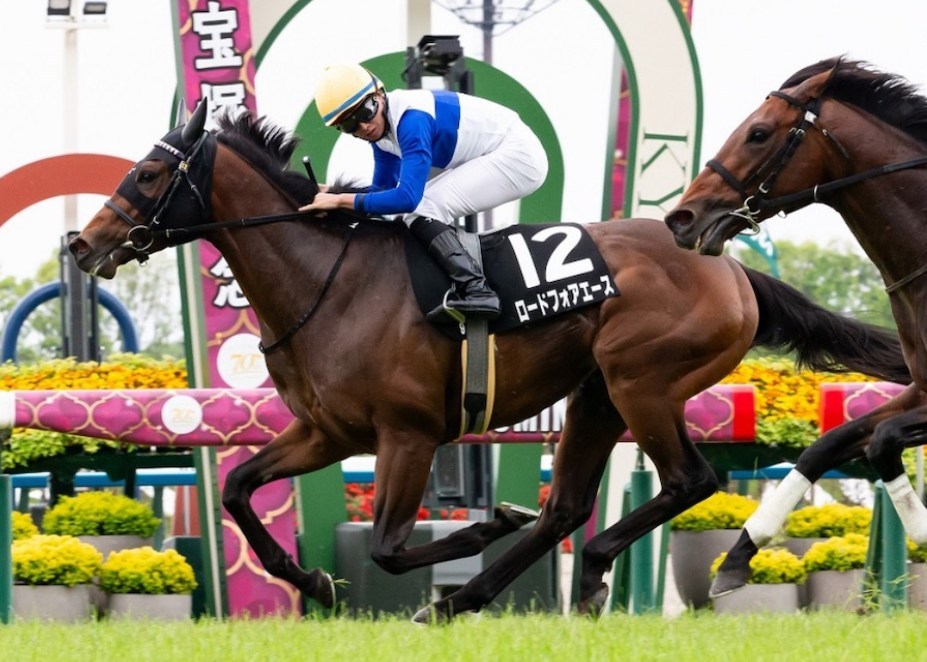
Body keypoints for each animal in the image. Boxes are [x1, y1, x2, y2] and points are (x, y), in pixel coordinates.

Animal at [68, 100, 908, 622]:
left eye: (149, 174)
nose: (82, 244)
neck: (328, 280)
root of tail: (727, 266)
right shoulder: (328, 432)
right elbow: (239, 488)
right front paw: (313, 580)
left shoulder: (407, 434)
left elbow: (388, 546)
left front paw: (479, 528)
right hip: (596, 395)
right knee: (565, 506)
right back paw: (473, 597)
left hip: (640, 380)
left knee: (687, 481)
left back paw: (552, 569)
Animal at [665, 56, 927, 597]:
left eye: (759, 133)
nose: (681, 217)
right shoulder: (921, 390)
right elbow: (828, 445)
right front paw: (737, 558)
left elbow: (882, 440)